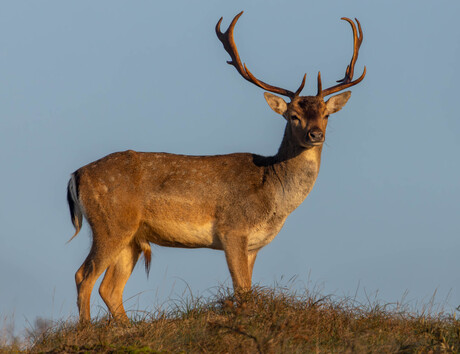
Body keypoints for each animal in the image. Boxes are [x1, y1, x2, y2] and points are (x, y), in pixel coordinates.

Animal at [66, 11, 364, 322]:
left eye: (326, 114)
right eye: (293, 116)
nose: (316, 134)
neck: (272, 192)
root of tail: (76, 175)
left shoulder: (253, 244)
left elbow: (247, 290)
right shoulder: (232, 230)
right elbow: (242, 291)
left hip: (132, 238)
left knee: (110, 288)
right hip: (110, 224)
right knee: (83, 276)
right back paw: (86, 328)